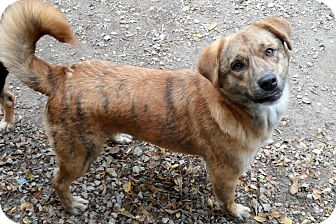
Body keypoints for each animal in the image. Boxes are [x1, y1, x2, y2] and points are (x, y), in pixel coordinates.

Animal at [0, 0, 290, 220]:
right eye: (237, 65)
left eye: (269, 51)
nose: (268, 82)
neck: (231, 104)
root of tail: (62, 75)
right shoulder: (225, 175)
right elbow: (227, 199)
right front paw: (235, 211)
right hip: (78, 156)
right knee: (58, 182)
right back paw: (70, 205)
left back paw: (117, 136)